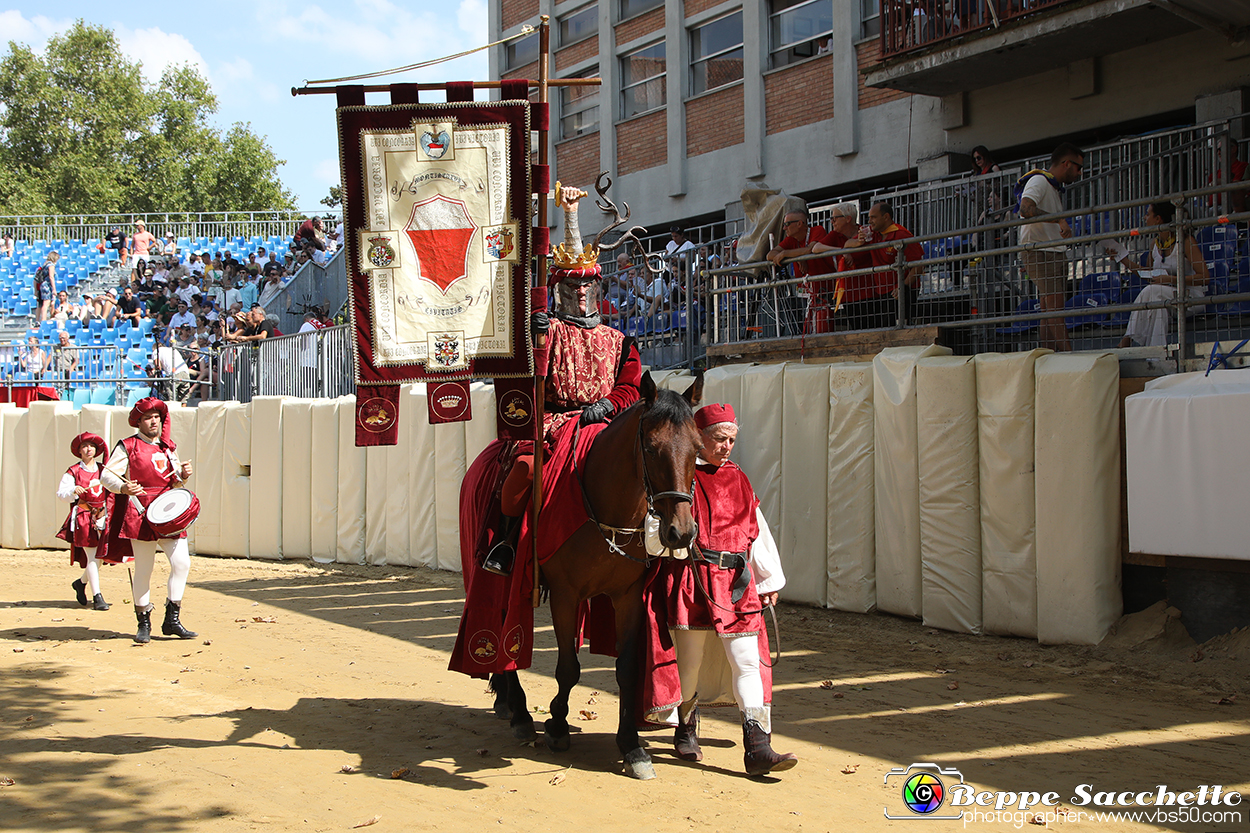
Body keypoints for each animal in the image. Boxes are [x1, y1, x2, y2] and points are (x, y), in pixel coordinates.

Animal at [490, 367, 705, 770]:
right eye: (651, 449)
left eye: (697, 449)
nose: (681, 532)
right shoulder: (565, 594)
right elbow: (568, 667)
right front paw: (557, 726)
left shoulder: (628, 597)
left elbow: (627, 668)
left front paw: (631, 744)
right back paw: (520, 711)